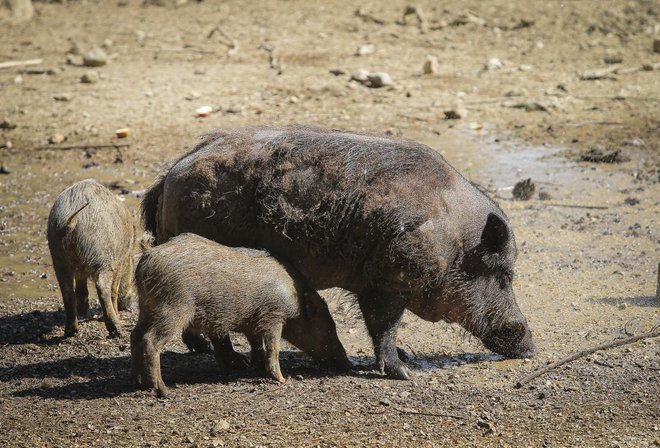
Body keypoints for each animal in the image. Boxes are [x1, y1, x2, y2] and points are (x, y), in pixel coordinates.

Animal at [48, 178, 137, 336]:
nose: (127, 305)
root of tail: (72, 221)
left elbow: (81, 286)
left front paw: (83, 311)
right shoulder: (119, 263)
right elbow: (114, 289)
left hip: (57, 256)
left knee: (67, 291)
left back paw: (71, 331)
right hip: (103, 259)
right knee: (103, 288)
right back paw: (117, 330)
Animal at [131, 233, 354, 398]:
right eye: (328, 328)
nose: (348, 363)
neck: (294, 299)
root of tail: (148, 254)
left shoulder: (253, 323)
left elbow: (257, 345)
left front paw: (255, 368)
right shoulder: (273, 315)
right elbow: (273, 346)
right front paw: (282, 380)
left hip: (147, 307)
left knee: (135, 335)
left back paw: (139, 383)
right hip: (173, 309)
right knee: (150, 340)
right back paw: (163, 390)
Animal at [143, 124, 536, 380]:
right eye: (504, 274)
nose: (532, 346)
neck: (452, 244)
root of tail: (169, 176)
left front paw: (403, 360)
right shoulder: (385, 282)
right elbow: (384, 327)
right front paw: (404, 372)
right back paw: (233, 364)